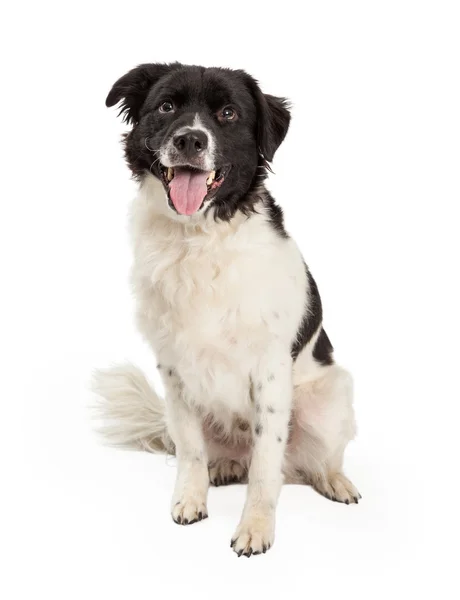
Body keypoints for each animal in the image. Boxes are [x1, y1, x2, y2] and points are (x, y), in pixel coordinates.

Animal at [93, 61, 360, 556]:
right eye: (167, 106)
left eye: (228, 113)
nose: (190, 140)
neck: (197, 237)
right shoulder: (173, 369)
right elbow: (192, 451)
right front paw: (190, 500)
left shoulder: (271, 370)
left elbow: (266, 467)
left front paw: (255, 528)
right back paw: (224, 468)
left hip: (331, 396)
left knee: (315, 460)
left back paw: (334, 480)